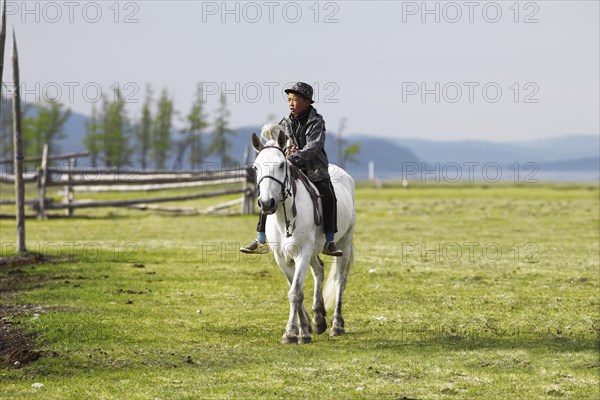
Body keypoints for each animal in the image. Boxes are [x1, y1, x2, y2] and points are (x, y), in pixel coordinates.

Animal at [250, 125, 354, 344]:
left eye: (282, 165)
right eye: (255, 167)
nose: (266, 203)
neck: (285, 220)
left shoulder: (302, 254)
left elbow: (295, 293)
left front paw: (292, 333)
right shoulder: (282, 258)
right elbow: (293, 290)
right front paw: (304, 327)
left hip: (344, 243)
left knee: (339, 280)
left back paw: (337, 325)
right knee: (319, 270)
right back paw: (318, 319)